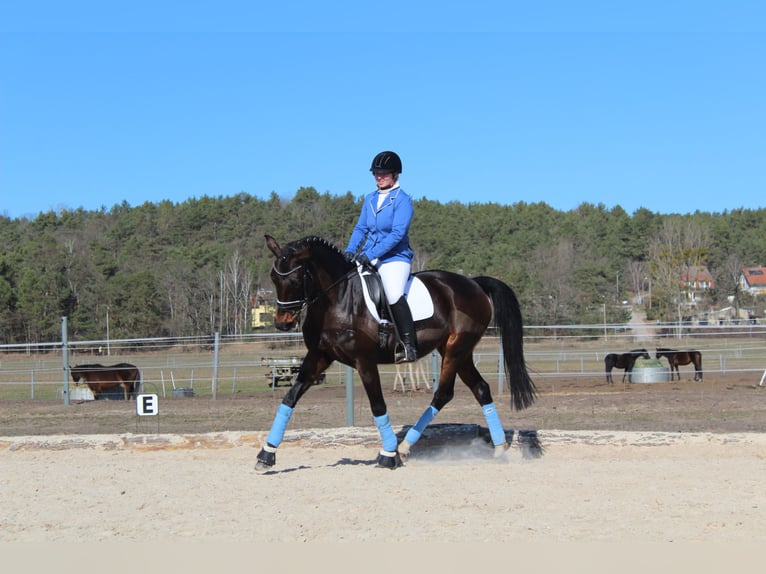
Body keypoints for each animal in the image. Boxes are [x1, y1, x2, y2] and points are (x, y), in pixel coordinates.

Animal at [255, 236, 536, 474]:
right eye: (273, 277)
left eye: (296, 279)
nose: (282, 323)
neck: (337, 300)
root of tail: (474, 283)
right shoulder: (318, 356)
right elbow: (290, 398)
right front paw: (266, 454)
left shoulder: (365, 362)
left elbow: (378, 405)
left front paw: (388, 455)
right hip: (458, 352)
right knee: (480, 388)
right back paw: (498, 449)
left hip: (457, 349)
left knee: (443, 393)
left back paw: (404, 447)